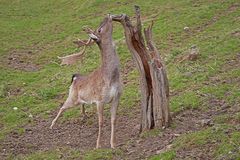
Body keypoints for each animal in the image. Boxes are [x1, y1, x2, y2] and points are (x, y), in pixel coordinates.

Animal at [50, 14, 122, 149]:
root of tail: (75, 78)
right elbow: (101, 122)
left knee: (81, 104)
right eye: (99, 30)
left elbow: (113, 120)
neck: (111, 78)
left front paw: (113, 144)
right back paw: (52, 125)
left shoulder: (117, 97)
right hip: (72, 97)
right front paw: (98, 145)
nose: (108, 15)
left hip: (79, 99)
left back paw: (84, 115)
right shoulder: (99, 99)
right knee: (62, 106)